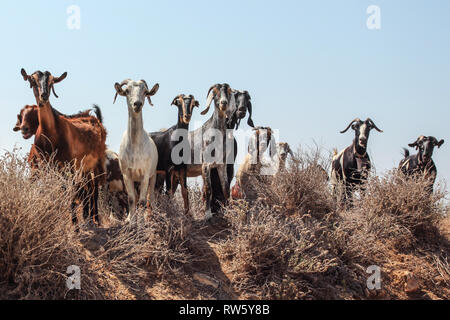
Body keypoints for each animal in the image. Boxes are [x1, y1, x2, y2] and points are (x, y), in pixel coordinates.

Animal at [113, 79, 159, 221]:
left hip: (153, 175)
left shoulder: (145, 174)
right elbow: (132, 199)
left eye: (145, 91)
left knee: (150, 196)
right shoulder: (126, 174)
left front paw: (142, 220)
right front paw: (130, 219)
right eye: (127, 91)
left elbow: (143, 201)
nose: (137, 104)